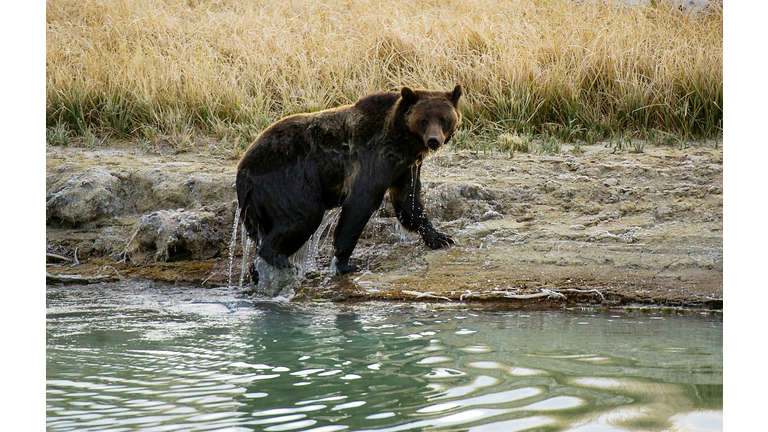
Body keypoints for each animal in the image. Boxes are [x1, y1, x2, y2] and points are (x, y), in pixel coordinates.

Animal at [234, 85, 462, 276]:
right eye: (424, 120)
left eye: (443, 119)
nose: (434, 140)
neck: (402, 142)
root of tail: (241, 172)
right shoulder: (372, 157)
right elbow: (361, 202)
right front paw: (345, 263)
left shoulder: (405, 167)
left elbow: (408, 201)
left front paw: (440, 237)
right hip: (285, 180)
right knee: (303, 216)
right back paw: (281, 263)